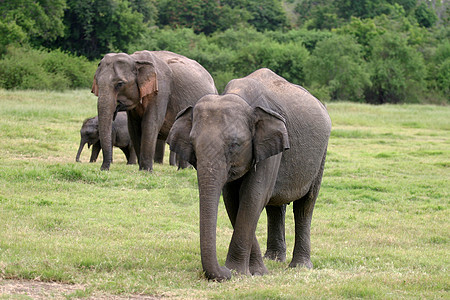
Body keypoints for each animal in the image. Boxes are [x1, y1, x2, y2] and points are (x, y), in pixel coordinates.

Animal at [169, 68, 330, 282]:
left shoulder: (271, 146)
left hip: (321, 155)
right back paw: (273, 259)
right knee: (275, 207)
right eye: (192, 145)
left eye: (235, 145)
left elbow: (252, 196)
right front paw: (256, 271)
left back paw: (300, 266)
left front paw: (239, 271)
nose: (224, 272)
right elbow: (232, 199)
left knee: (305, 205)